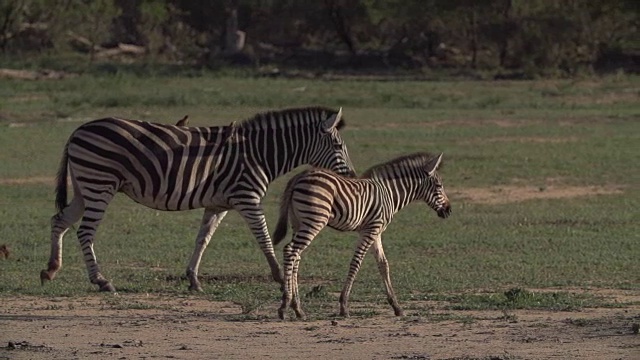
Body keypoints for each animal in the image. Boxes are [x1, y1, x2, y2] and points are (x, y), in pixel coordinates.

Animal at [42, 105, 358, 292]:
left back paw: (51, 270)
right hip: (100, 184)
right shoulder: (247, 197)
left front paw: (193, 279)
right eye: (338, 146)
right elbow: (264, 238)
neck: (258, 154)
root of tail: (78, 129)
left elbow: (202, 239)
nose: (354, 177)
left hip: (85, 187)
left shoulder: (218, 204)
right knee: (84, 231)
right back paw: (101, 280)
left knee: (59, 221)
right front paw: (280, 276)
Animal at [274, 152, 450, 320]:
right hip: (314, 220)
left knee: (296, 256)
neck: (389, 194)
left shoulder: (376, 231)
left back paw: (297, 309)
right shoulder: (371, 229)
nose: (449, 210)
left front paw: (397, 307)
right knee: (290, 251)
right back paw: (285, 306)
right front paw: (343, 306)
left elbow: (383, 264)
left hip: (298, 223)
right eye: (439, 186)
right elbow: (356, 263)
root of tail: (299, 176)